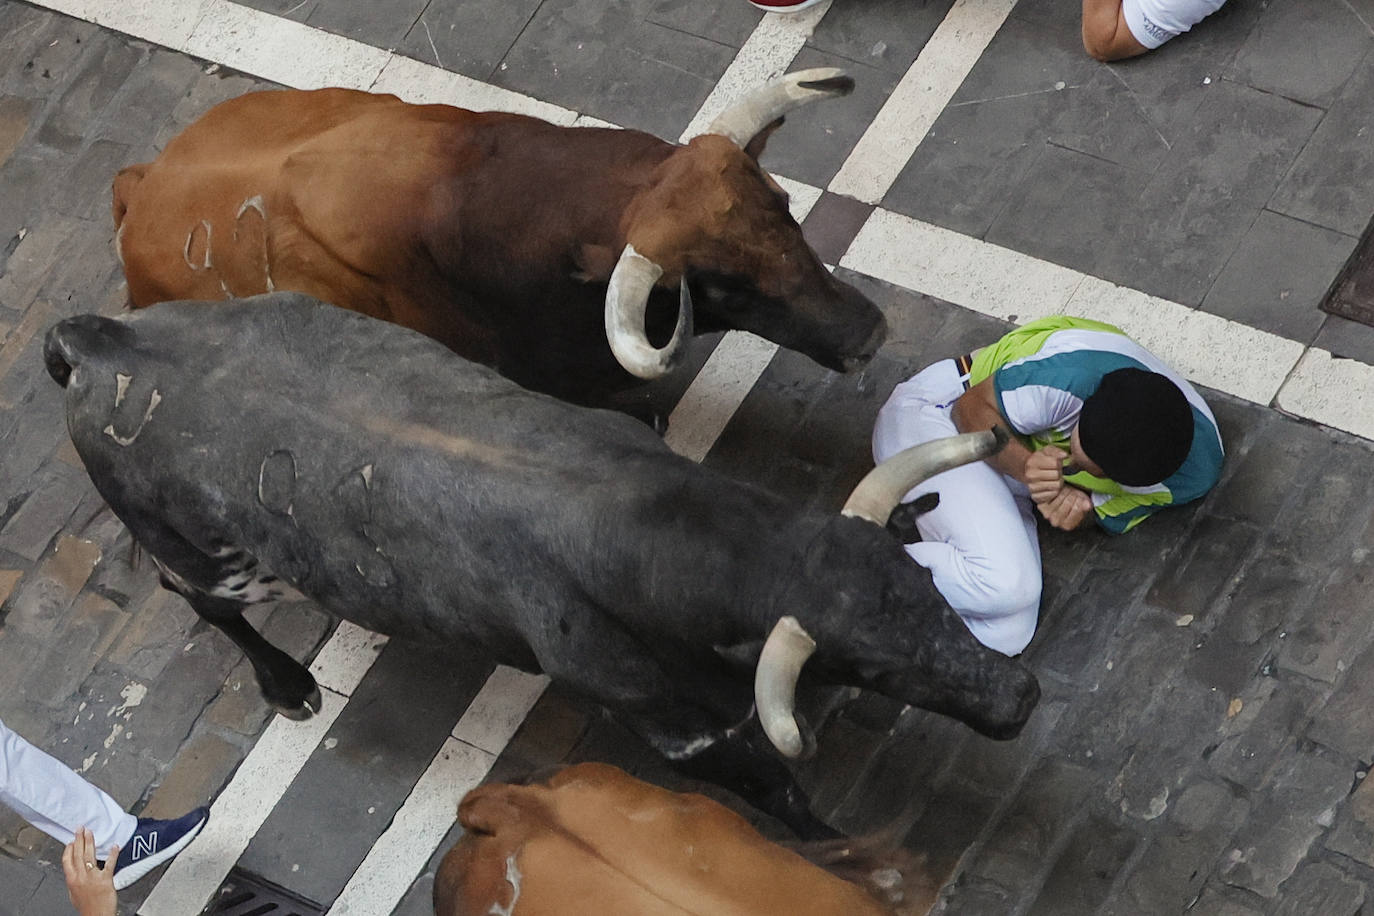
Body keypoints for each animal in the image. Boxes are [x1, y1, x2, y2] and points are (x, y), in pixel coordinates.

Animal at [42, 295, 1033, 840]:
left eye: (926, 592)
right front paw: (836, 851)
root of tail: (99, 340)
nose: (1015, 699)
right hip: (199, 552)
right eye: (864, 661)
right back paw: (287, 684)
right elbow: (779, 790)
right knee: (197, 599)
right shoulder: (672, 724)